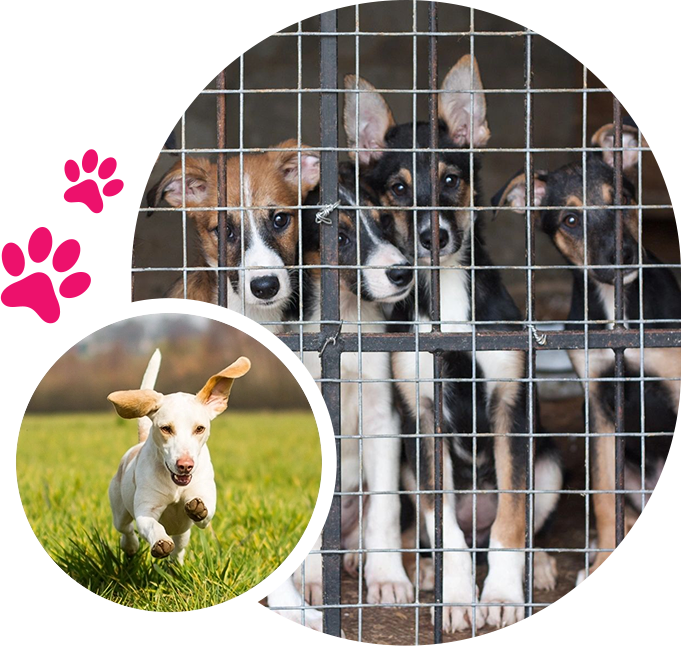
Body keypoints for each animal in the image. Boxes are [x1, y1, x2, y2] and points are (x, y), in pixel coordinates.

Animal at [107, 350, 251, 568]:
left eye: (200, 428)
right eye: (166, 428)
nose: (185, 466)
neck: (175, 486)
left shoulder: (205, 498)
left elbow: (205, 513)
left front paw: (198, 509)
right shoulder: (146, 509)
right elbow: (152, 526)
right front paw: (160, 542)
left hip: (183, 532)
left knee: (180, 548)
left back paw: (175, 566)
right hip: (119, 510)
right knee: (126, 530)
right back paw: (131, 546)